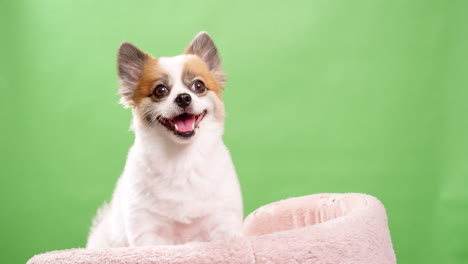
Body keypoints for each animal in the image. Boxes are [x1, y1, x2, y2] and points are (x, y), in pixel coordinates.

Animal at [85, 32, 243, 249]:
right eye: (160, 90)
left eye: (198, 86)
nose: (183, 97)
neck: (183, 161)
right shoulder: (147, 231)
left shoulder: (224, 224)